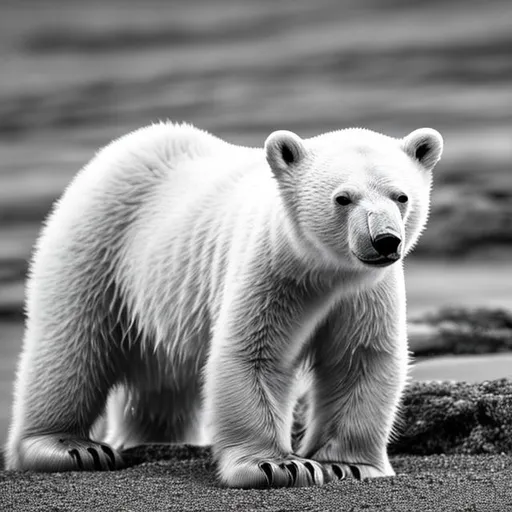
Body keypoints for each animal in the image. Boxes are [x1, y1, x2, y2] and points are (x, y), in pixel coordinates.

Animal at [5, 121, 444, 488]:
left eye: (401, 196)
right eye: (343, 198)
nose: (385, 240)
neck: (322, 270)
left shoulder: (365, 293)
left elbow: (360, 359)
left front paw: (347, 464)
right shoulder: (270, 271)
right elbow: (250, 353)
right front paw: (279, 465)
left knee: (160, 386)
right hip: (98, 248)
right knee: (72, 349)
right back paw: (71, 446)